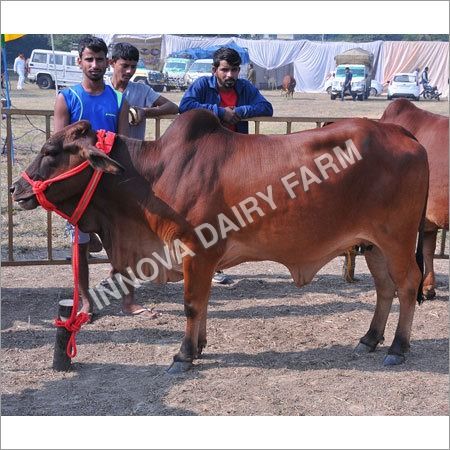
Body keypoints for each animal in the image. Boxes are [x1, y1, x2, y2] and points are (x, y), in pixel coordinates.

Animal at [12, 110, 428, 370]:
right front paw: (199, 347)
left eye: (51, 152)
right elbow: (205, 302)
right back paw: (370, 339)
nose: (16, 188)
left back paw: (397, 347)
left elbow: (192, 304)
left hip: (397, 239)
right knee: (385, 288)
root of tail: (405, 134)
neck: (153, 174)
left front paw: (183, 356)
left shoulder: (197, 250)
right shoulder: (203, 259)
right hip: (372, 244)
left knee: (407, 285)